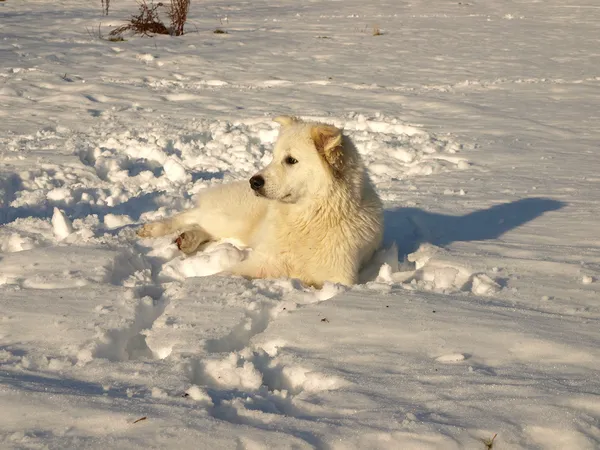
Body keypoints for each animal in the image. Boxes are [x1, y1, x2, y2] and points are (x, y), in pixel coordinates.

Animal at [138, 116, 384, 288]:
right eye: (273, 158)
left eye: (291, 160)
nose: (254, 182)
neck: (308, 219)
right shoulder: (264, 262)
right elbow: (227, 273)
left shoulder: (337, 277)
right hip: (234, 217)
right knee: (194, 214)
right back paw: (154, 229)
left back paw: (187, 239)